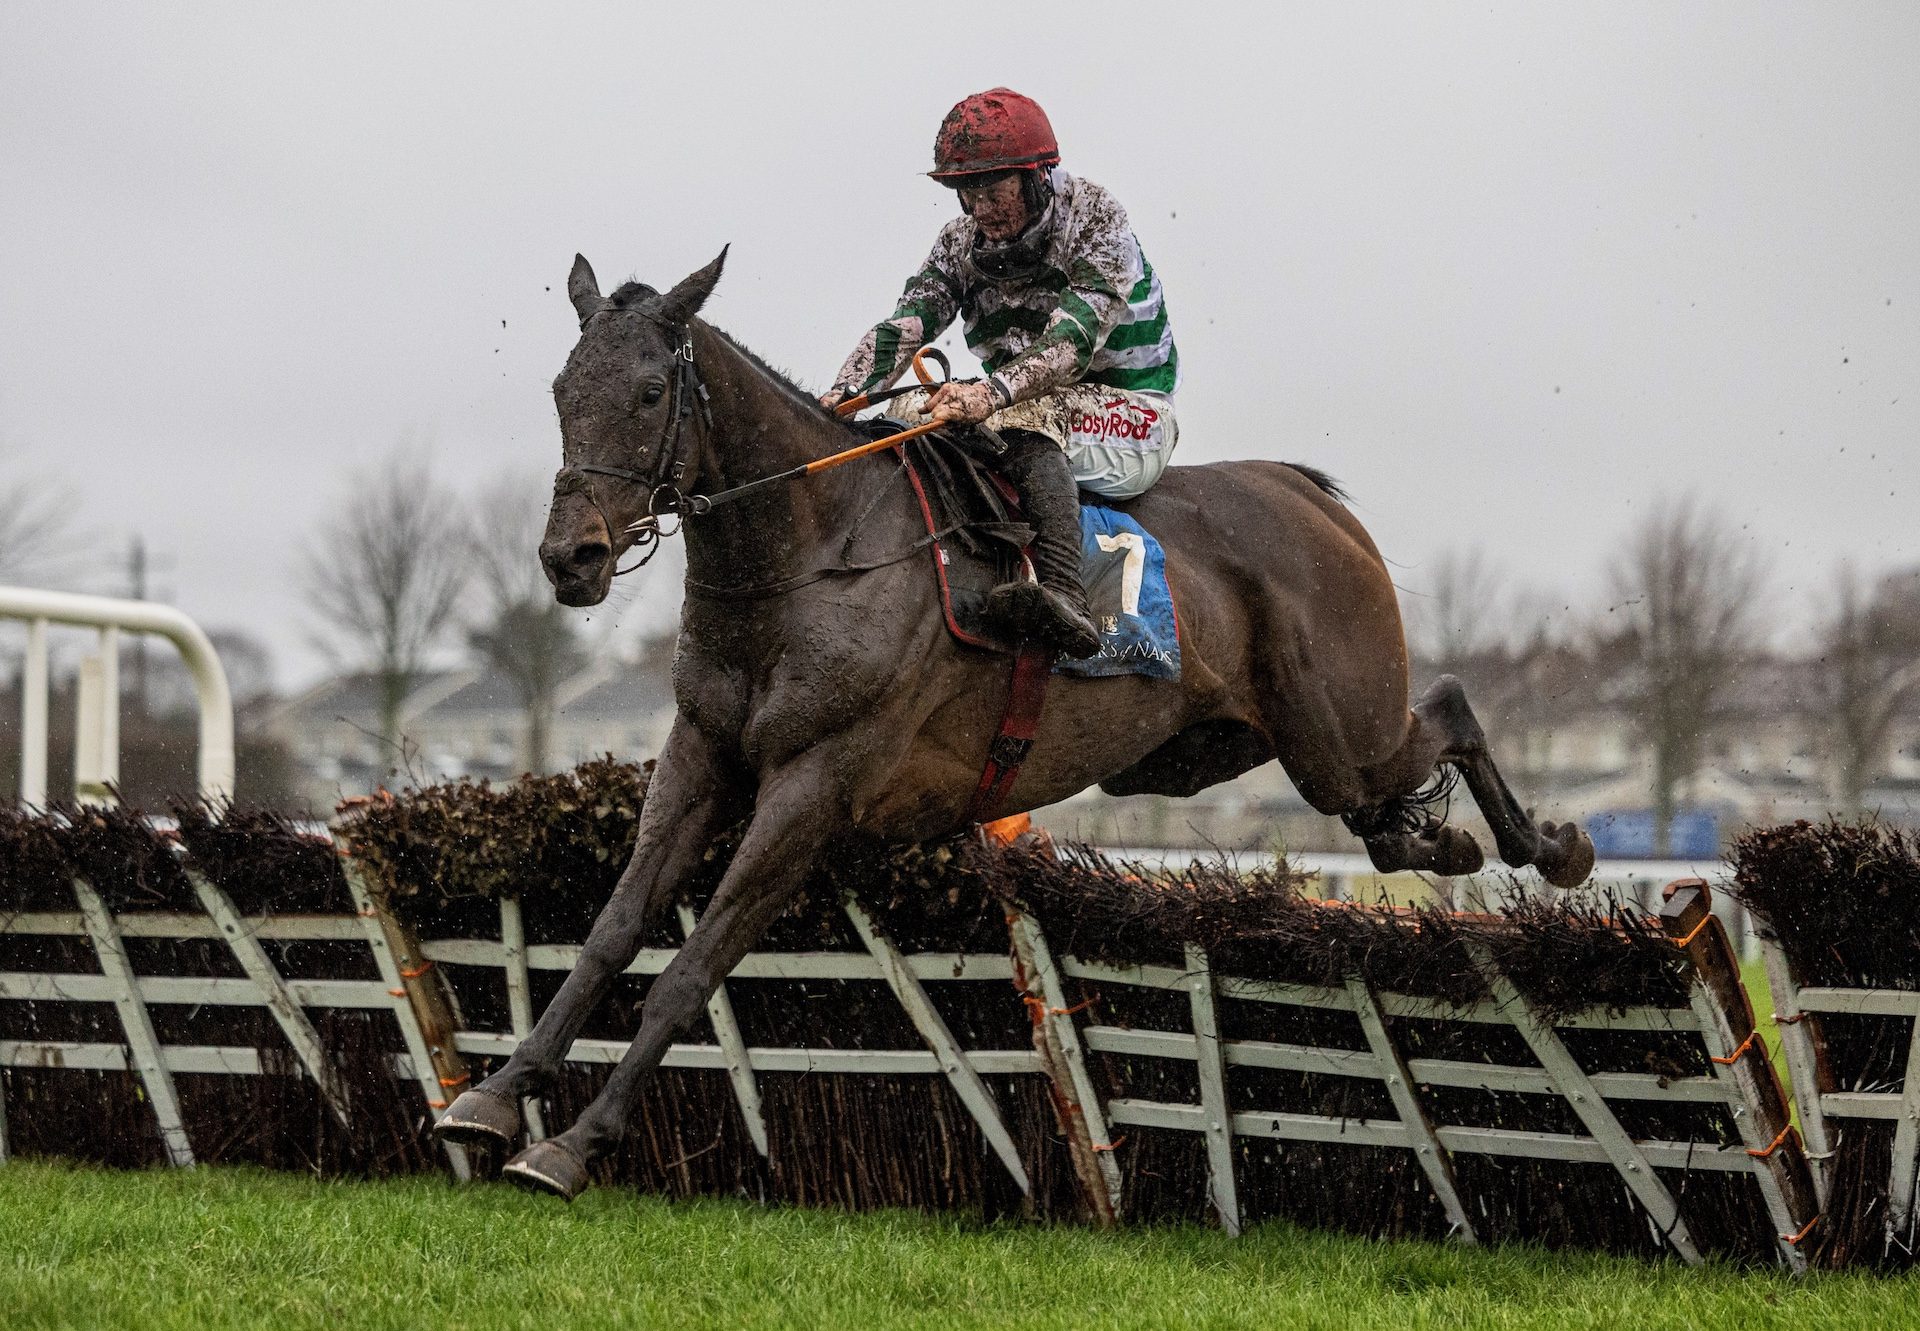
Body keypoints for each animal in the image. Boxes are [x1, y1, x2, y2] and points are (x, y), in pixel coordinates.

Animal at [441, 249, 1597, 1190]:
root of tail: (1310, 496)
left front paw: (572, 1144)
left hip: (1335, 732)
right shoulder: (699, 755)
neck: (811, 554)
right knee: (1388, 800)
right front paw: (492, 1097)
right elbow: (610, 932)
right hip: (1214, 753)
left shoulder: (815, 786)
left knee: (1446, 707)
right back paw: (1440, 838)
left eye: (648, 391)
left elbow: (689, 968)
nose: (572, 557)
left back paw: (1552, 845)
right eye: (562, 390)